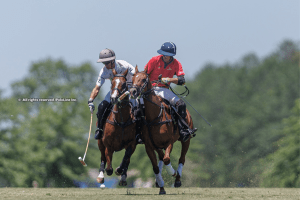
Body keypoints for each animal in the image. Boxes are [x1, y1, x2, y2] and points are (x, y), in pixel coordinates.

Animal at [129, 66, 195, 195]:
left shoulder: (169, 142)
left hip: (186, 140)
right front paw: (161, 188)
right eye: (133, 78)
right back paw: (158, 182)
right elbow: (155, 167)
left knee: (182, 158)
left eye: (143, 79)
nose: (133, 91)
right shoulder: (149, 146)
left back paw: (177, 179)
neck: (155, 116)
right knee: (160, 157)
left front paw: (173, 173)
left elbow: (166, 159)